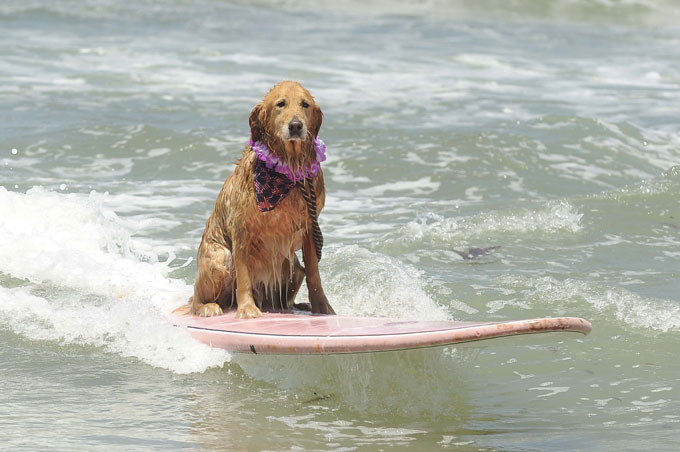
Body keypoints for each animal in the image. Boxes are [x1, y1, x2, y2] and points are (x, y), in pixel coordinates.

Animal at [191, 82, 334, 322]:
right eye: (281, 104)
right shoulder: (241, 230)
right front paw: (247, 308)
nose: (296, 126)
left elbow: (314, 272)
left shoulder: (309, 227)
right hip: (221, 258)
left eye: (305, 104)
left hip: (293, 267)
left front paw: (322, 307)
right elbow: (244, 276)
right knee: (195, 299)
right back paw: (208, 307)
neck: (286, 172)